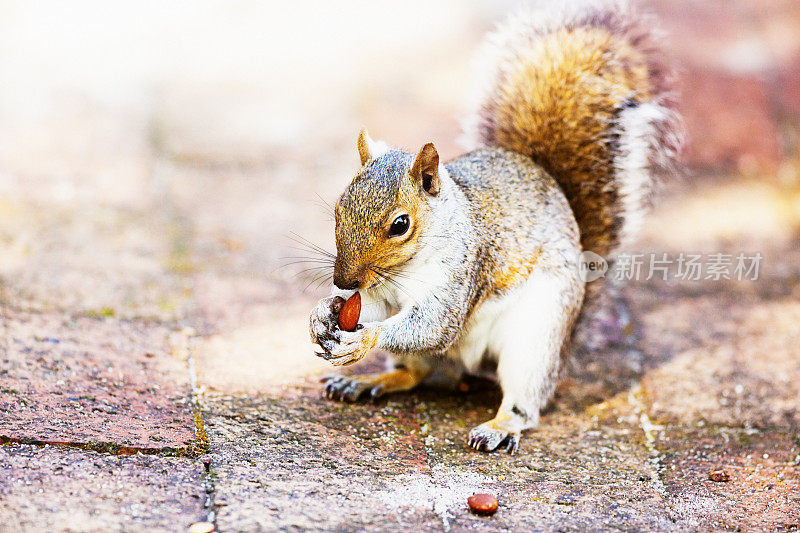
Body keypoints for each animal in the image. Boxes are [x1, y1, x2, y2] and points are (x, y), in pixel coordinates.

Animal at [306, 0, 680, 454]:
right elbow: (369, 308)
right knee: (414, 374)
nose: (344, 281)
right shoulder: (377, 293)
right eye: (338, 208)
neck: (407, 268)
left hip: (537, 335)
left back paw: (500, 426)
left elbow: (432, 325)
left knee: (523, 399)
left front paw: (363, 339)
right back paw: (366, 382)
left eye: (400, 225)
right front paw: (321, 315)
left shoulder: (462, 273)